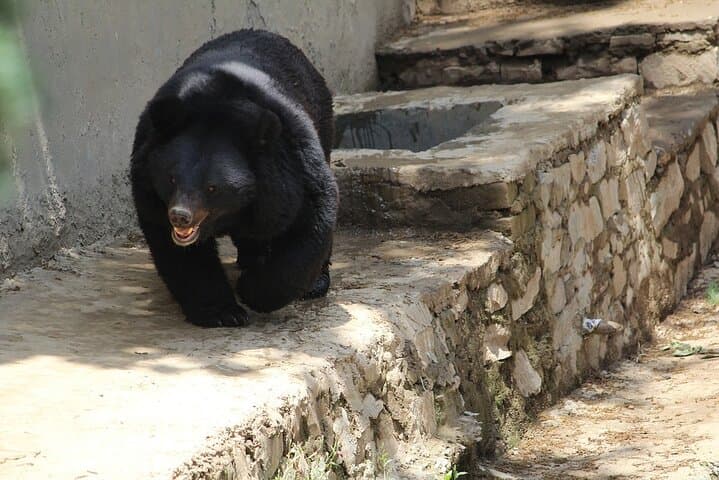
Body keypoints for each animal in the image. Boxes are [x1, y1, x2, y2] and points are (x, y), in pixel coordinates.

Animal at [130, 29, 337, 327]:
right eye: (171, 179)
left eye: (212, 188)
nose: (180, 216)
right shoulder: (148, 182)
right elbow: (179, 251)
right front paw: (223, 312)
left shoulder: (291, 164)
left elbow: (310, 219)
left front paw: (253, 290)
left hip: (322, 119)